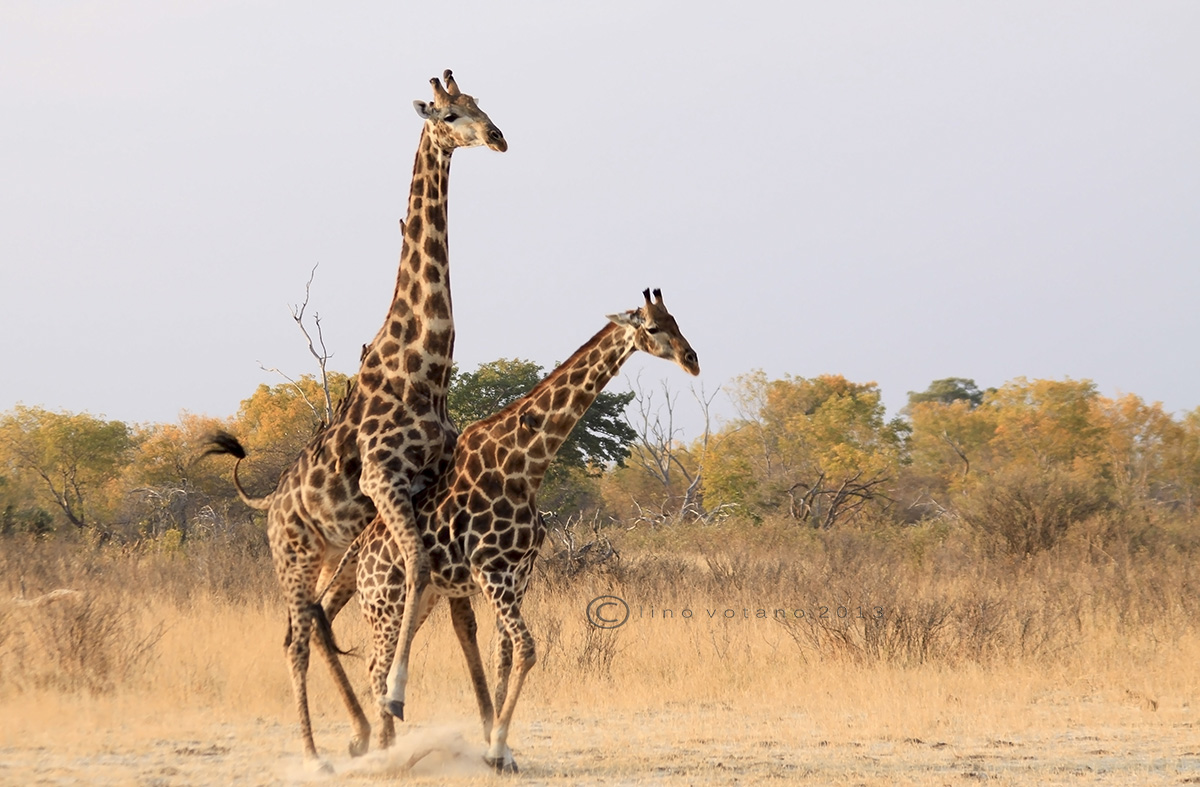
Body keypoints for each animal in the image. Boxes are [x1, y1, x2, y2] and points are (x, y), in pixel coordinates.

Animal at [202, 70, 505, 767]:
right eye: (450, 115)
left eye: (481, 105)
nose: (499, 137)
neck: (425, 368)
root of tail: (269, 502)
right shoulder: (382, 480)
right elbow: (418, 572)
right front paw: (394, 696)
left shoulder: (427, 487)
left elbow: (457, 609)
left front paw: (484, 729)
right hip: (292, 553)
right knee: (294, 634)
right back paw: (317, 750)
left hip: (332, 548)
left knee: (318, 619)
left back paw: (361, 734)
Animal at [339, 289, 699, 772]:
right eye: (654, 327)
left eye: (678, 321)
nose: (692, 359)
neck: (527, 464)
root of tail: (361, 554)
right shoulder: (491, 570)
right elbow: (528, 648)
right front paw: (495, 748)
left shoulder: (517, 574)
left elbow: (505, 654)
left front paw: (502, 752)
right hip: (383, 601)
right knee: (376, 664)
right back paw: (385, 750)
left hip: (421, 599)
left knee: (381, 659)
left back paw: (387, 745)